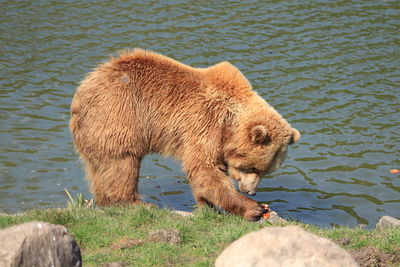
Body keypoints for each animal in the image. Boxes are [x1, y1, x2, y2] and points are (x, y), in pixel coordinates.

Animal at [69, 49, 300, 221]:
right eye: (253, 168)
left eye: (265, 171)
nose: (250, 191)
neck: (228, 124)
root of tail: (83, 88)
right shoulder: (204, 122)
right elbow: (204, 167)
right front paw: (254, 208)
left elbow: (206, 173)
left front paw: (206, 205)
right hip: (118, 116)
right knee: (122, 164)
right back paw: (136, 203)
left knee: (99, 169)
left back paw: (105, 202)